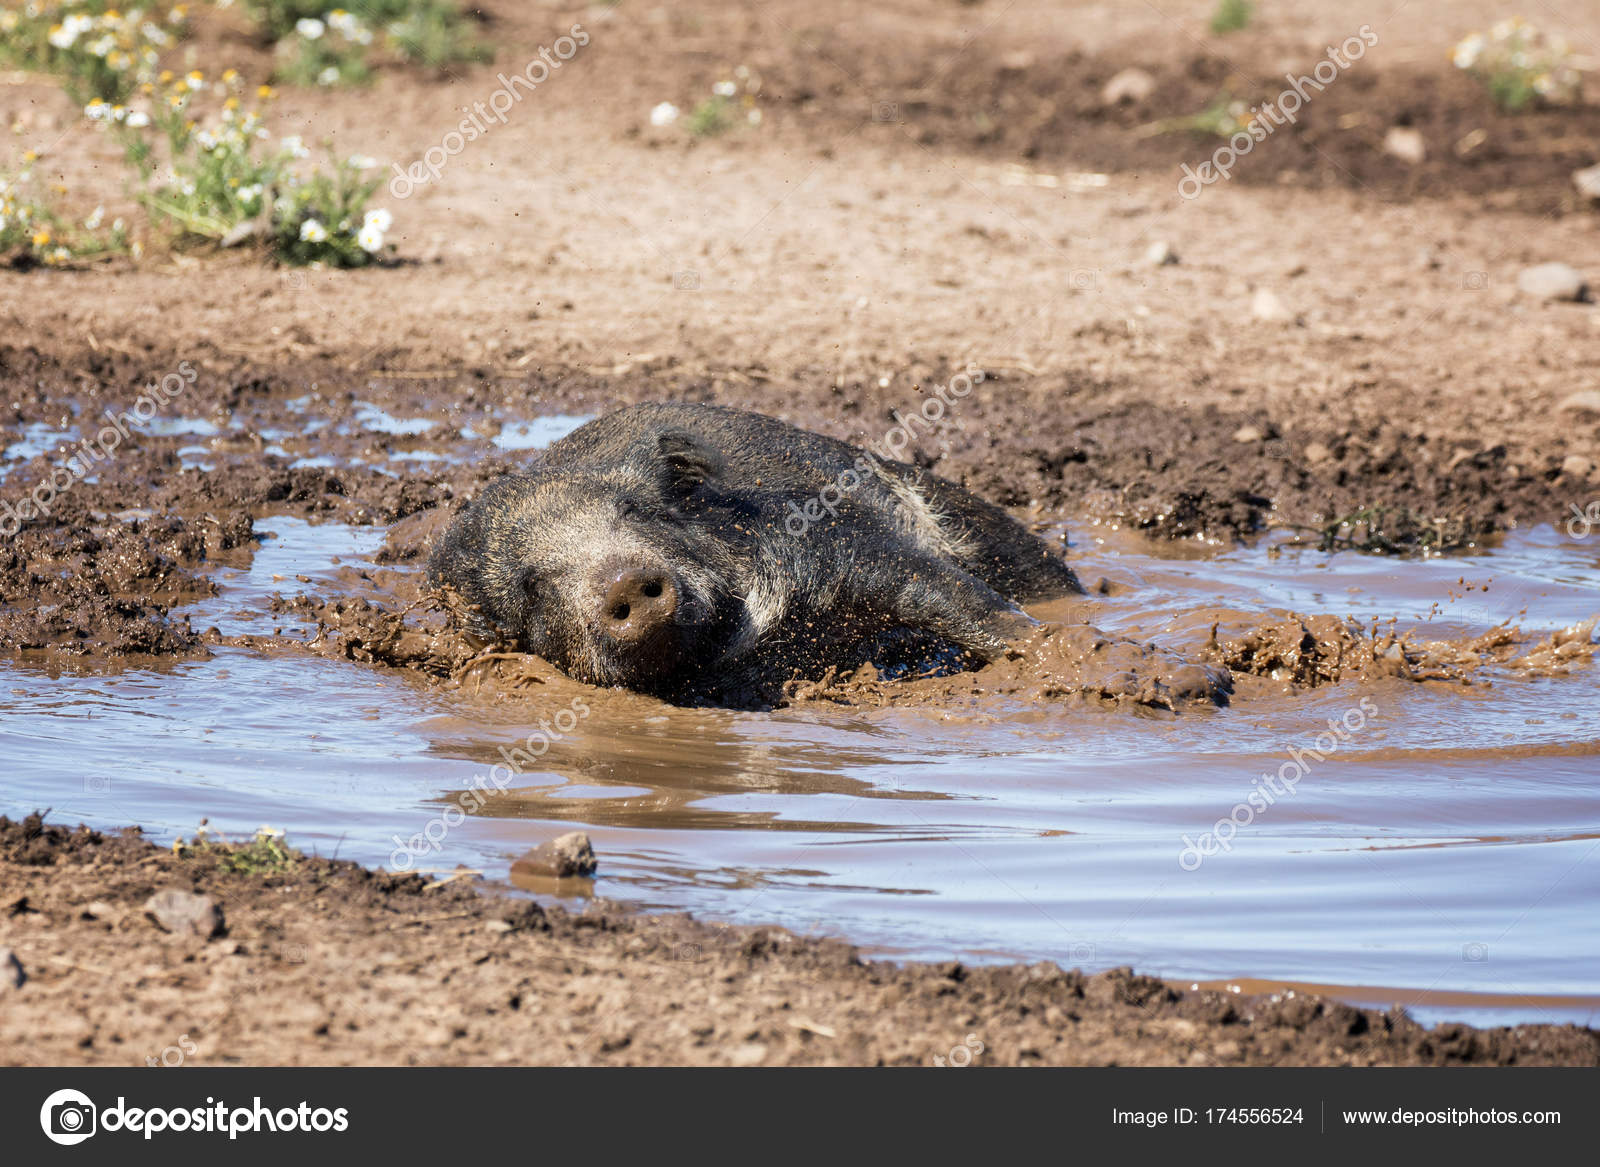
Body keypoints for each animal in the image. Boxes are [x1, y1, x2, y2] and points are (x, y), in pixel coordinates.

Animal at [425, 400, 1081, 701]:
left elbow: (937, 591)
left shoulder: (838, 543)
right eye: (531, 586)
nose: (623, 580)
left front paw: (1050, 656)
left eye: (634, 511)